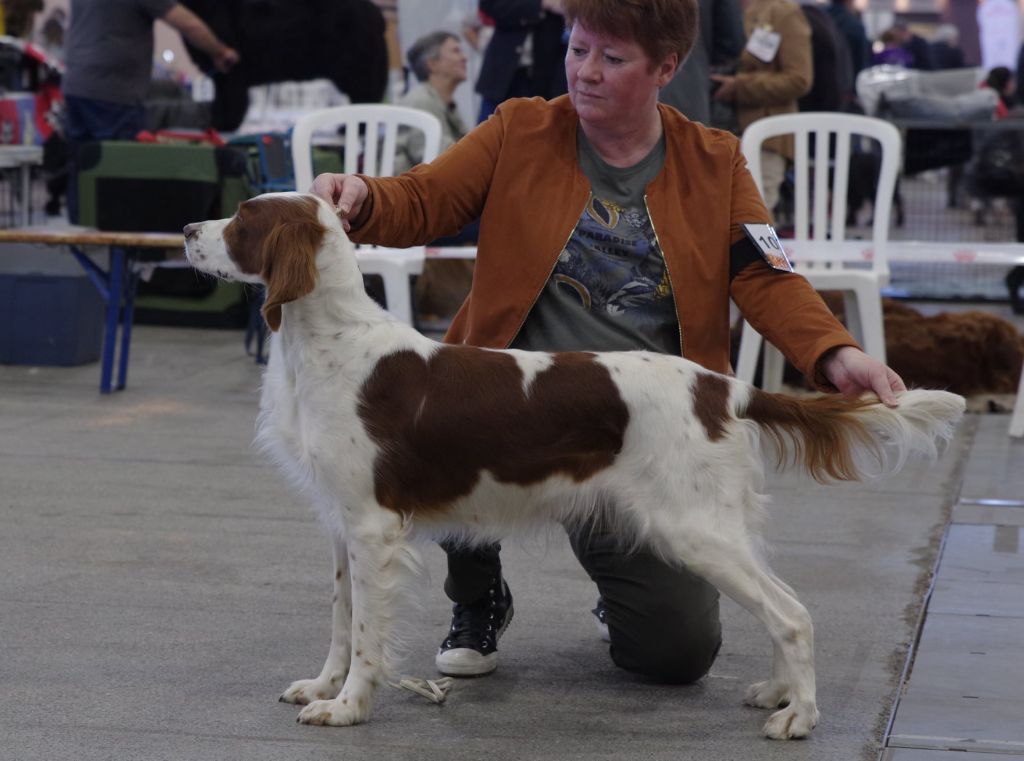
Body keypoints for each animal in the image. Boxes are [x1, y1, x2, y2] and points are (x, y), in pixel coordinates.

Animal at [186, 193, 966, 741]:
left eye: (244, 218)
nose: (189, 228)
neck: (331, 344)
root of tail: (723, 386)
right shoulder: (341, 522)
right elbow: (341, 618)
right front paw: (322, 687)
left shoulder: (373, 525)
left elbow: (366, 632)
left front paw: (347, 708)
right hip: (715, 524)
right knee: (784, 600)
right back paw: (777, 694)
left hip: (693, 529)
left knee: (792, 612)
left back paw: (797, 718)